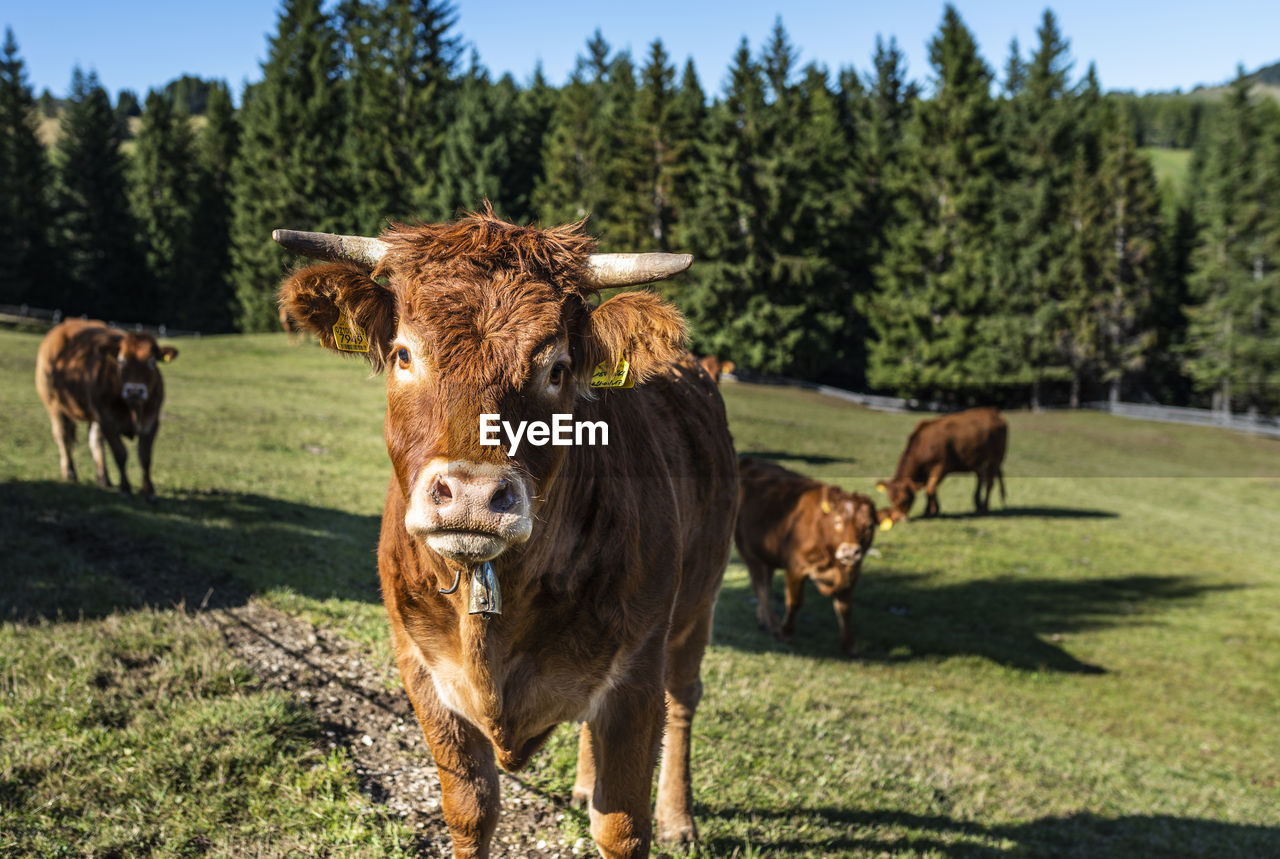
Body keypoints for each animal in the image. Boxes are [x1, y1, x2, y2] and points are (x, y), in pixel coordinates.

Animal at [34, 318, 177, 501]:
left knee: (95, 441)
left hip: (93, 414)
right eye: (121, 361)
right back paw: (70, 473)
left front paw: (148, 491)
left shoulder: (151, 419)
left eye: (152, 362)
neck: (132, 408)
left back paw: (104, 478)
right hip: (54, 404)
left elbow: (145, 456)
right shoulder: (107, 419)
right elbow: (120, 453)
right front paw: (125, 488)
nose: (135, 390)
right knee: (63, 436)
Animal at [277, 209, 742, 859]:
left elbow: (622, 826)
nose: (473, 494)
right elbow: (471, 810)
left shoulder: (637, 673)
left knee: (684, 701)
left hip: (699, 606)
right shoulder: (421, 668)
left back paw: (679, 817)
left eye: (557, 369)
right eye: (403, 353)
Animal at [732, 460, 880, 655]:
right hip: (748, 550)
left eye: (869, 526)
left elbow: (845, 609)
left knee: (765, 583)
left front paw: (849, 646)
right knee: (761, 586)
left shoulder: (853, 574)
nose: (850, 551)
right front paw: (786, 634)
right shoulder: (796, 567)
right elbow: (794, 601)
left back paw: (764, 620)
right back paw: (773, 624)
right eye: (838, 521)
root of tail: (749, 461)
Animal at [875, 407, 1003, 527]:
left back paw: (985, 508)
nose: (899, 519)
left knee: (989, 484)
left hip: (995, 459)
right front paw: (929, 510)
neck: (924, 444)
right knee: (980, 480)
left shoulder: (940, 467)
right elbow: (930, 489)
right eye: (891, 499)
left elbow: (930, 488)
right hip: (978, 462)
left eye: (905, 500)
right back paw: (978, 504)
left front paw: (933, 511)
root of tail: (991, 411)